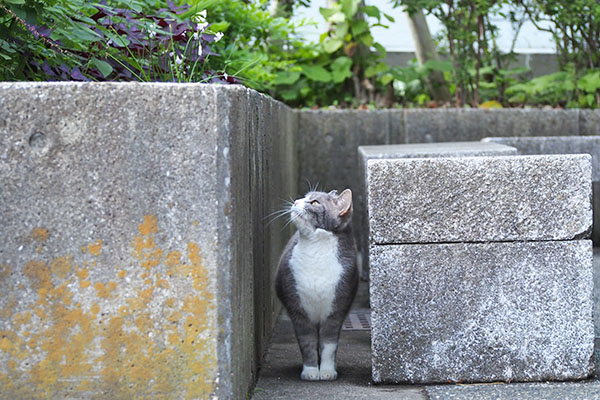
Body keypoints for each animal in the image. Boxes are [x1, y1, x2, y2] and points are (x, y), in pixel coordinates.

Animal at [276, 188, 358, 382]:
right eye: (305, 197)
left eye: (314, 202)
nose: (296, 201)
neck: (315, 249)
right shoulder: (298, 310)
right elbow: (307, 342)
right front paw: (311, 371)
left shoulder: (336, 309)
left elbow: (329, 343)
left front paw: (327, 371)